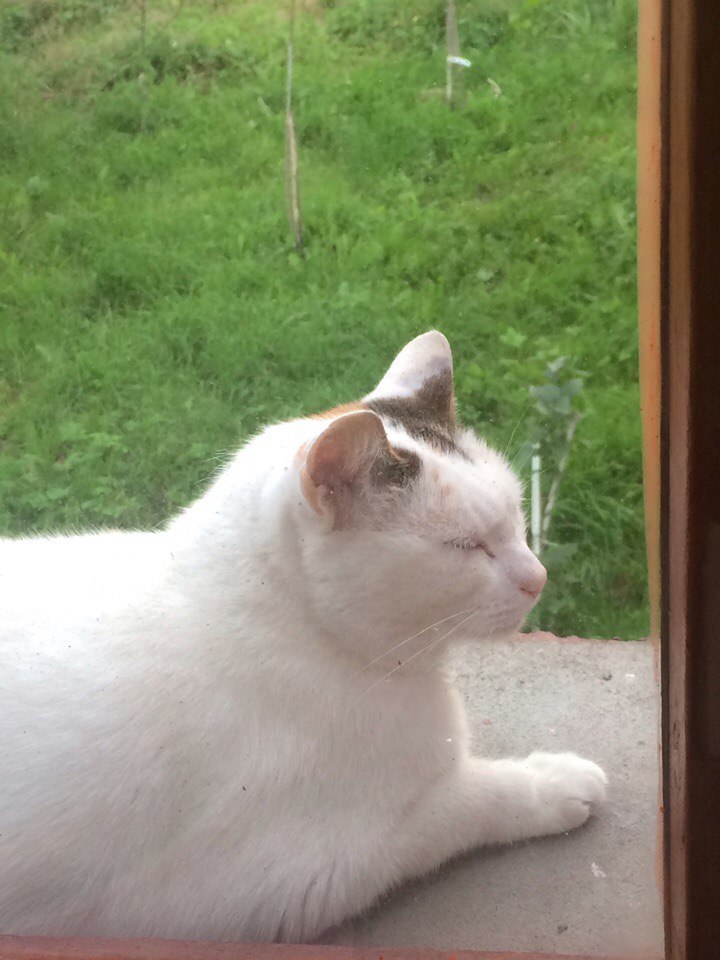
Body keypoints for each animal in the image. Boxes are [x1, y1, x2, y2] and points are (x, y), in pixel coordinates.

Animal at [0, 331, 606, 943]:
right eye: (465, 546)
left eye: (516, 516)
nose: (538, 578)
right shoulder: (289, 881)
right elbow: (466, 800)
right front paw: (555, 781)